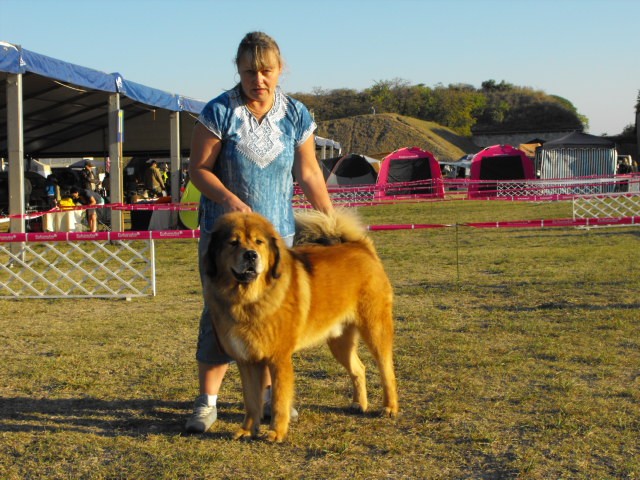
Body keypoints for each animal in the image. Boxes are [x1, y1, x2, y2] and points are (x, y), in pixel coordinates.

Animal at [202, 208, 398, 442]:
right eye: (233, 242)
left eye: (259, 242)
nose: (250, 255)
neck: (248, 300)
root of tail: (361, 247)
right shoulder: (246, 360)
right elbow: (251, 400)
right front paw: (247, 430)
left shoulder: (278, 359)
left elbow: (279, 399)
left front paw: (276, 432)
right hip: (339, 342)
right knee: (359, 368)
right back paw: (359, 403)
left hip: (375, 329)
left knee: (386, 370)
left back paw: (390, 407)